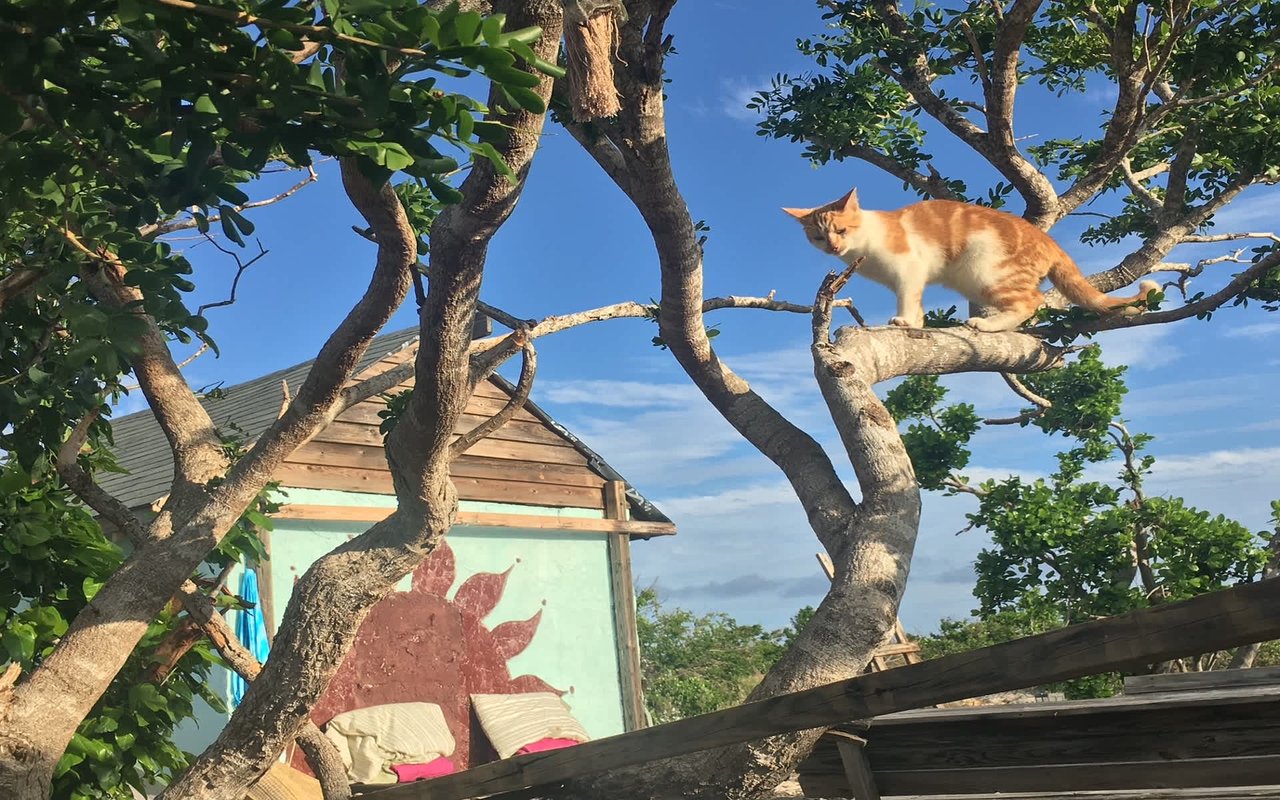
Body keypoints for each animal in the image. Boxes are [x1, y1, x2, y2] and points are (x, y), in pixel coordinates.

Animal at [778, 188, 1162, 330]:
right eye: (818, 236)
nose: (832, 247)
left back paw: (988, 324)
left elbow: (907, 297)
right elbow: (916, 302)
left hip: (986, 272)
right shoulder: (912, 276)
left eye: (841, 230)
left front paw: (905, 321)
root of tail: (1047, 239)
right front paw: (917, 322)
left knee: (1032, 302)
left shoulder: (908, 268)